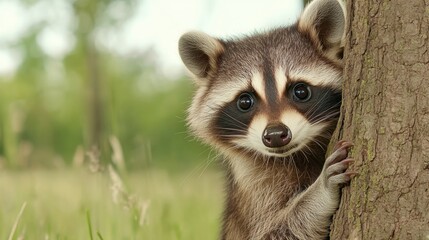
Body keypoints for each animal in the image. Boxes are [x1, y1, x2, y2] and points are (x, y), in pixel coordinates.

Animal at [177, 0, 354, 239]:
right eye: (245, 101)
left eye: (300, 91)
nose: (276, 135)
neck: (297, 154)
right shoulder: (254, 187)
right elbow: (273, 230)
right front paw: (320, 192)